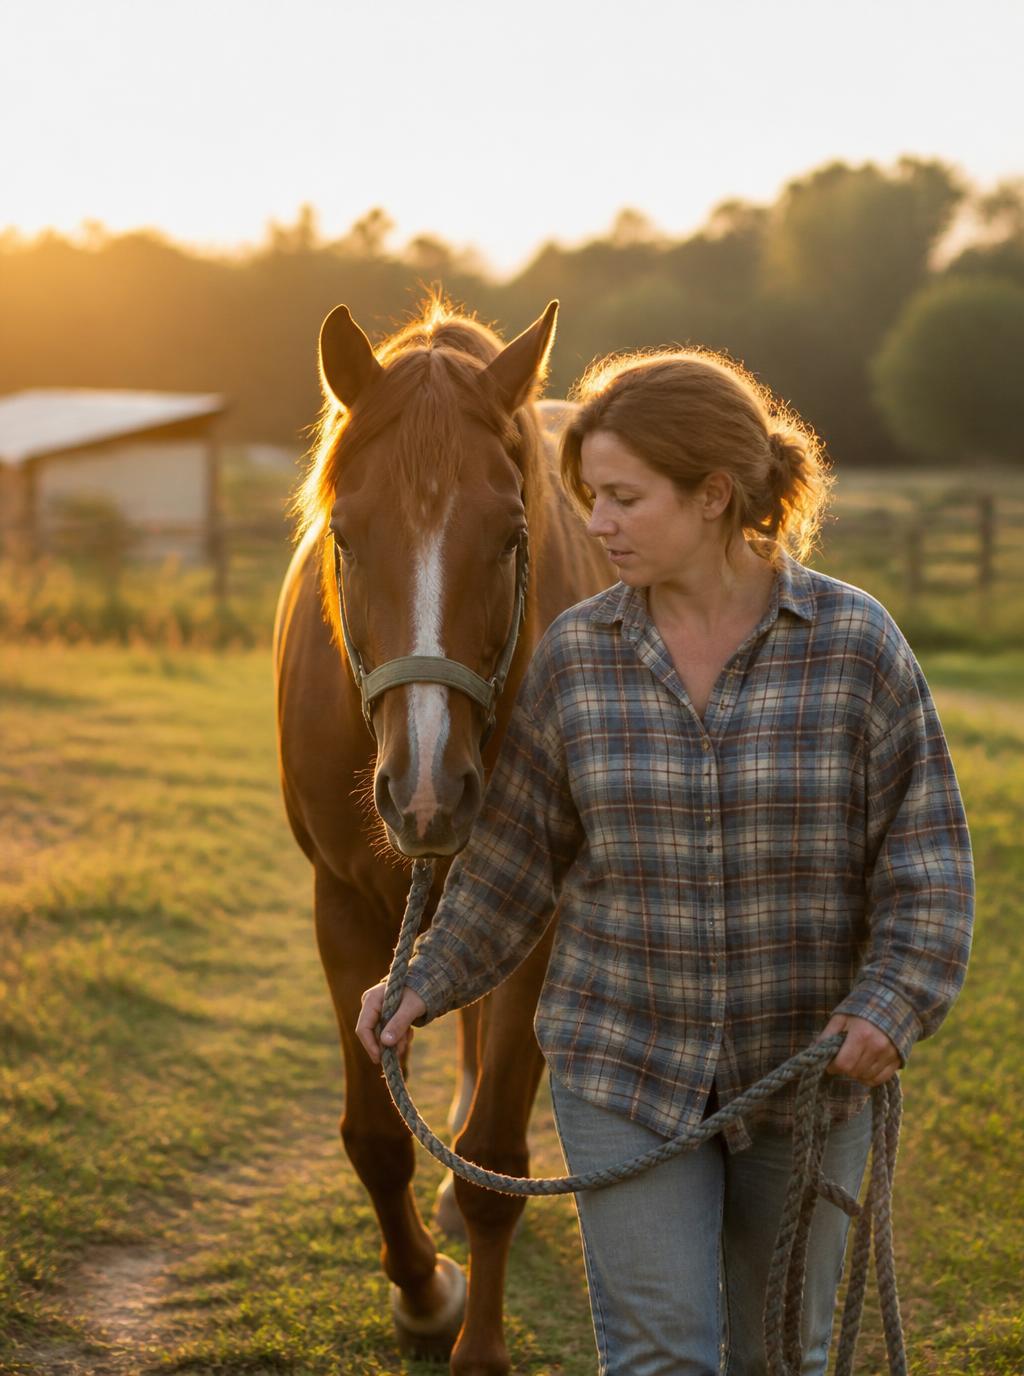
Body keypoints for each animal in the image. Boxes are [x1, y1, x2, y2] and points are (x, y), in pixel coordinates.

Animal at [273, 296, 611, 1376]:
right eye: (344, 533)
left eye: (510, 536)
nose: (427, 789)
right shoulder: (342, 905)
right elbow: (376, 1137)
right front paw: (423, 1297)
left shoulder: (537, 920)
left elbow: (497, 1158)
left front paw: (480, 1342)